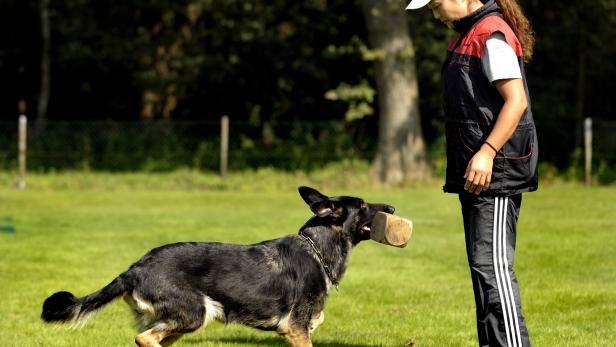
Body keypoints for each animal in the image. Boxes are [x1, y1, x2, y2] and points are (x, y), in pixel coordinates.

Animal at [42, 188, 394, 347]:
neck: (318, 248)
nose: (391, 207)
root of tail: (134, 269)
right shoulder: (294, 328)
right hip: (194, 313)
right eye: (363, 206)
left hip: (184, 322)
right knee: (144, 339)